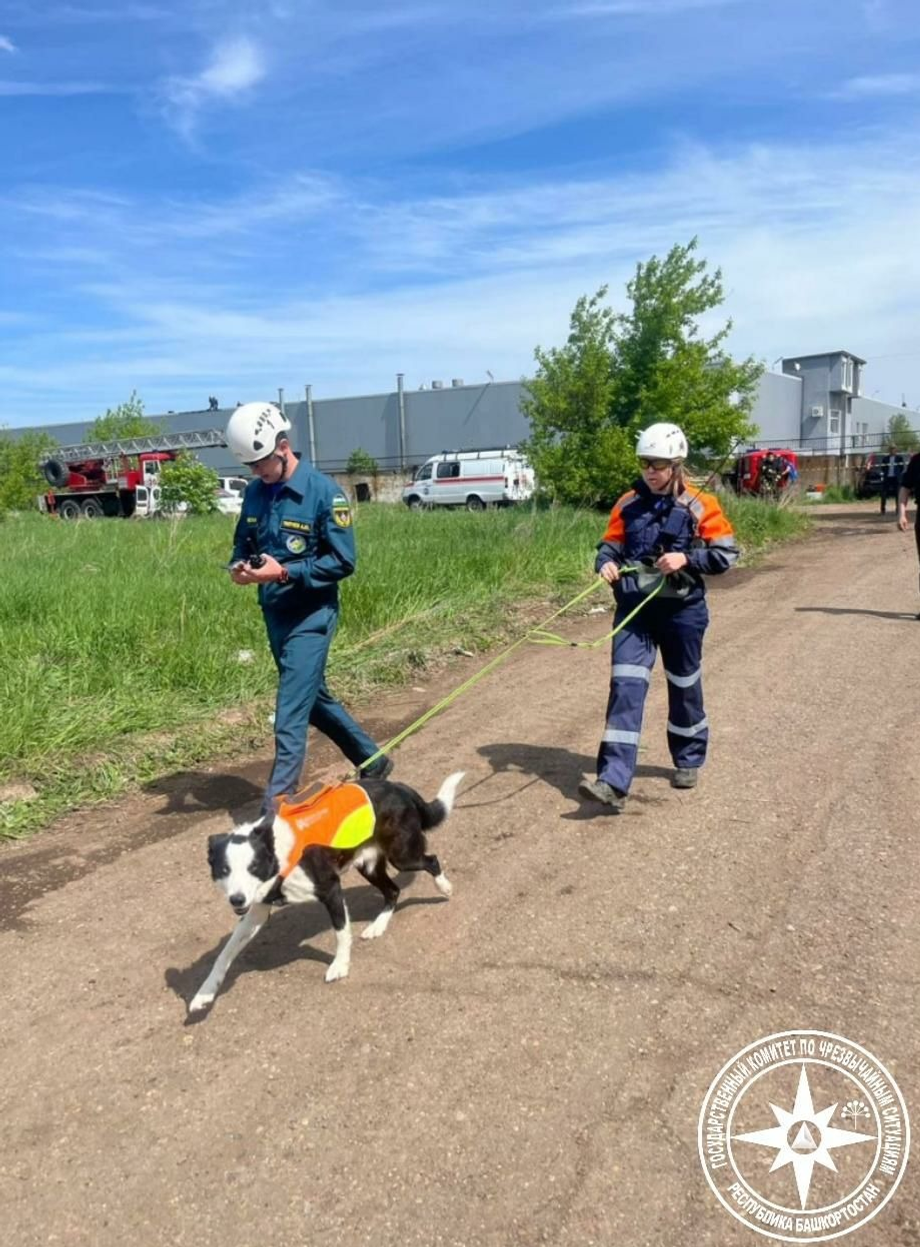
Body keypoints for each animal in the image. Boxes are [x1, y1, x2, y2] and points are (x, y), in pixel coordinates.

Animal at [189, 771, 463, 1014]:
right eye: (224, 870)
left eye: (253, 867)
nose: (236, 899)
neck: (278, 853)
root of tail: (398, 786)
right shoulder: (255, 910)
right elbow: (224, 954)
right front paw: (204, 993)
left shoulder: (330, 889)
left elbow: (341, 933)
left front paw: (340, 966)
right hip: (368, 864)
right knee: (393, 891)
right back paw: (377, 926)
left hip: (403, 856)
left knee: (431, 861)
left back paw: (444, 887)